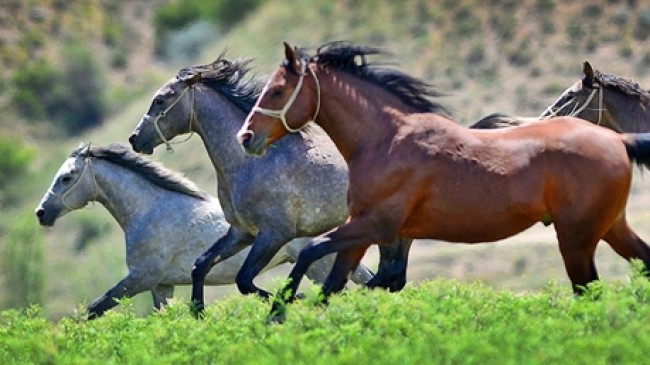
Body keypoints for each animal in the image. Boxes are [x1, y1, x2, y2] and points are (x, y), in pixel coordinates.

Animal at [35, 142, 370, 316]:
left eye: (67, 177)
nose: (41, 213)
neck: (149, 210)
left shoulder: (141, 278)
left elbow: (94, 309)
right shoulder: (161, 286)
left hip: (318, 266)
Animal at [128, 55, 410, 312]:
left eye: (160, 99)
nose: (134, 138)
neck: (252, 162)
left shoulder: (274, 234)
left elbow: (244, 281)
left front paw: (294, 300)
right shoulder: (241, 233)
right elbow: (201, 266)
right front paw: (198, 313)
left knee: (389, 276)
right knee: (391, 276)